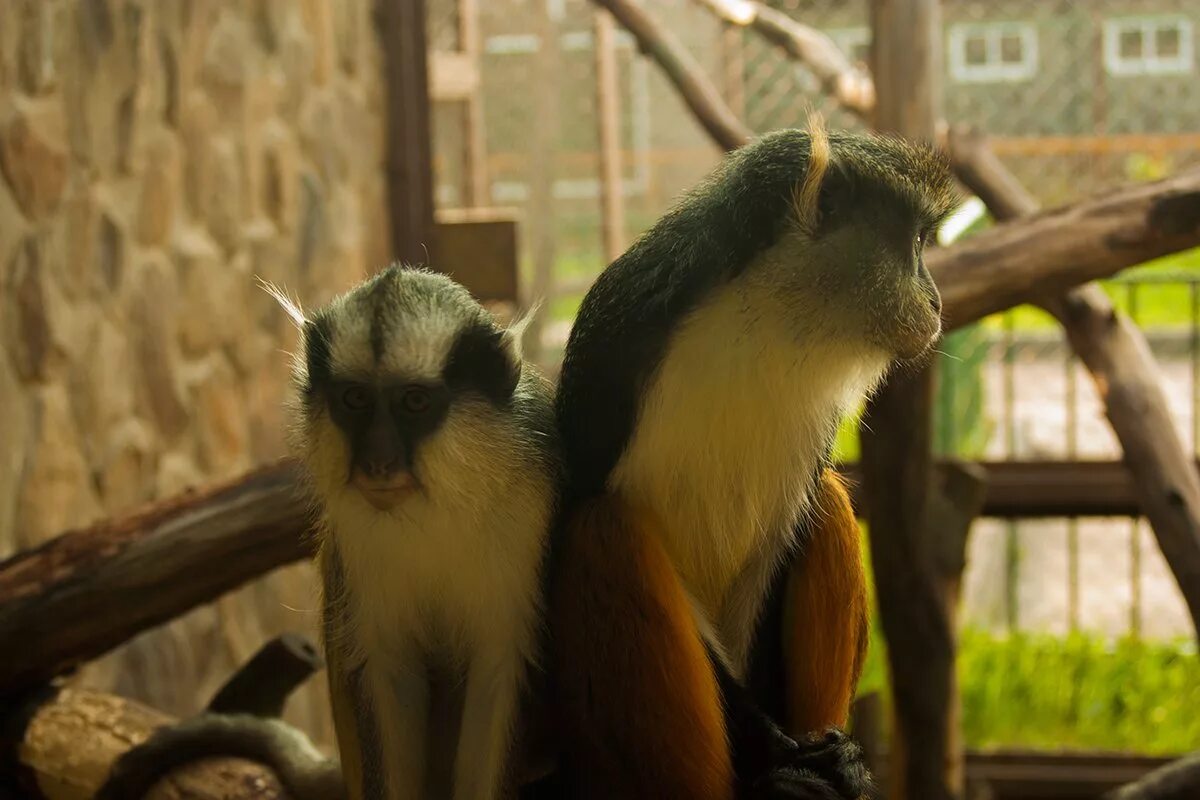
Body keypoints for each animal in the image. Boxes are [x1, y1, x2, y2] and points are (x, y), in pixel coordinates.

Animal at [544, 120, 955, 800]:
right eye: (916, 241)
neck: (774, 319)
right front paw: (774, 761)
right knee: (605, 530)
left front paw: (827, 762)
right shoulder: (616, 346)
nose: (937, 300)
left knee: (828, 501)